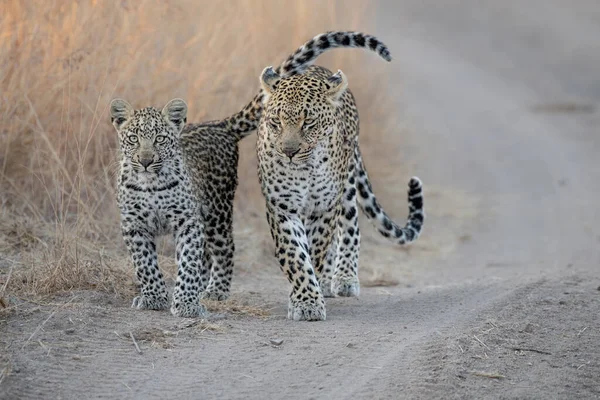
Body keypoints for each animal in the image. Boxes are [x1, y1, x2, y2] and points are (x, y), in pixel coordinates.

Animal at [258, 61, 426, 322]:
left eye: (308, 122)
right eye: (276, 122)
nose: (289, 152)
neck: (304, 170)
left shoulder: (324, 207)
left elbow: (315, 249)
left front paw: (306, 299)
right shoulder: (282, 207)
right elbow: (295, 255)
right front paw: (306, 300)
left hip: (346, 188)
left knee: (349, 228)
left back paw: (343, 278)